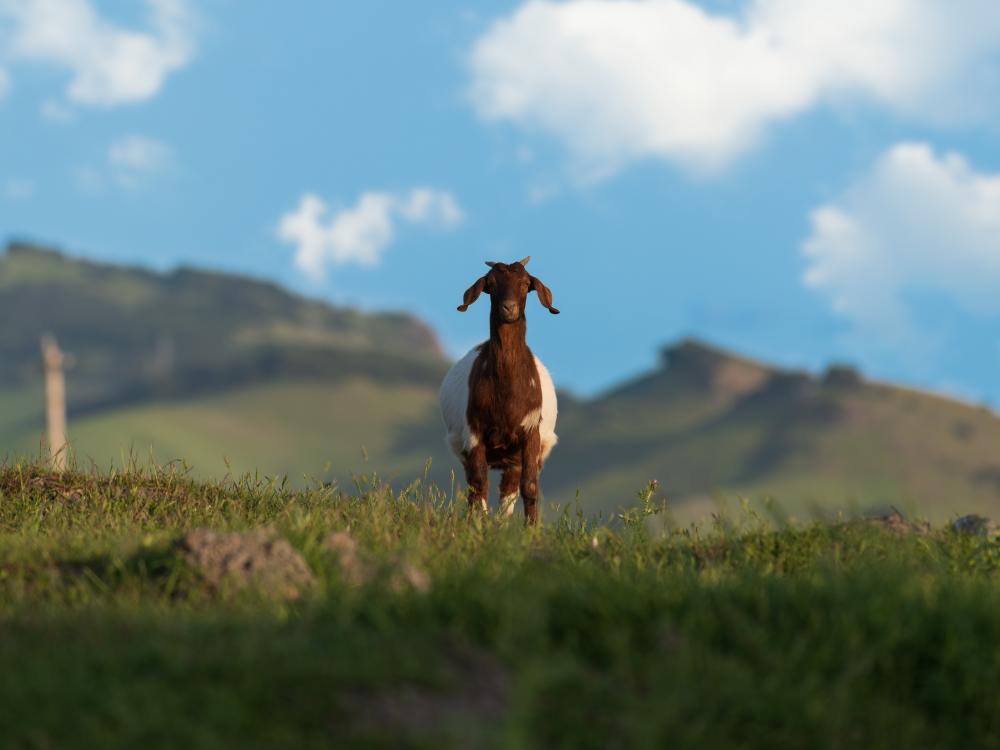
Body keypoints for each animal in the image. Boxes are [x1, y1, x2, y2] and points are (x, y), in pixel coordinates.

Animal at [440, 256, 560, 524]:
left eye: (525, 284)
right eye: (491, 285)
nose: (509, 309)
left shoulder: (531, 432)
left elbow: (529, 486)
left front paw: (531, 528)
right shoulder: (474, 434)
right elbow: (479, 483)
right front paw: (480, 525)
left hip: (515, 457)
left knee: (509, 489)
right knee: (477, 486)